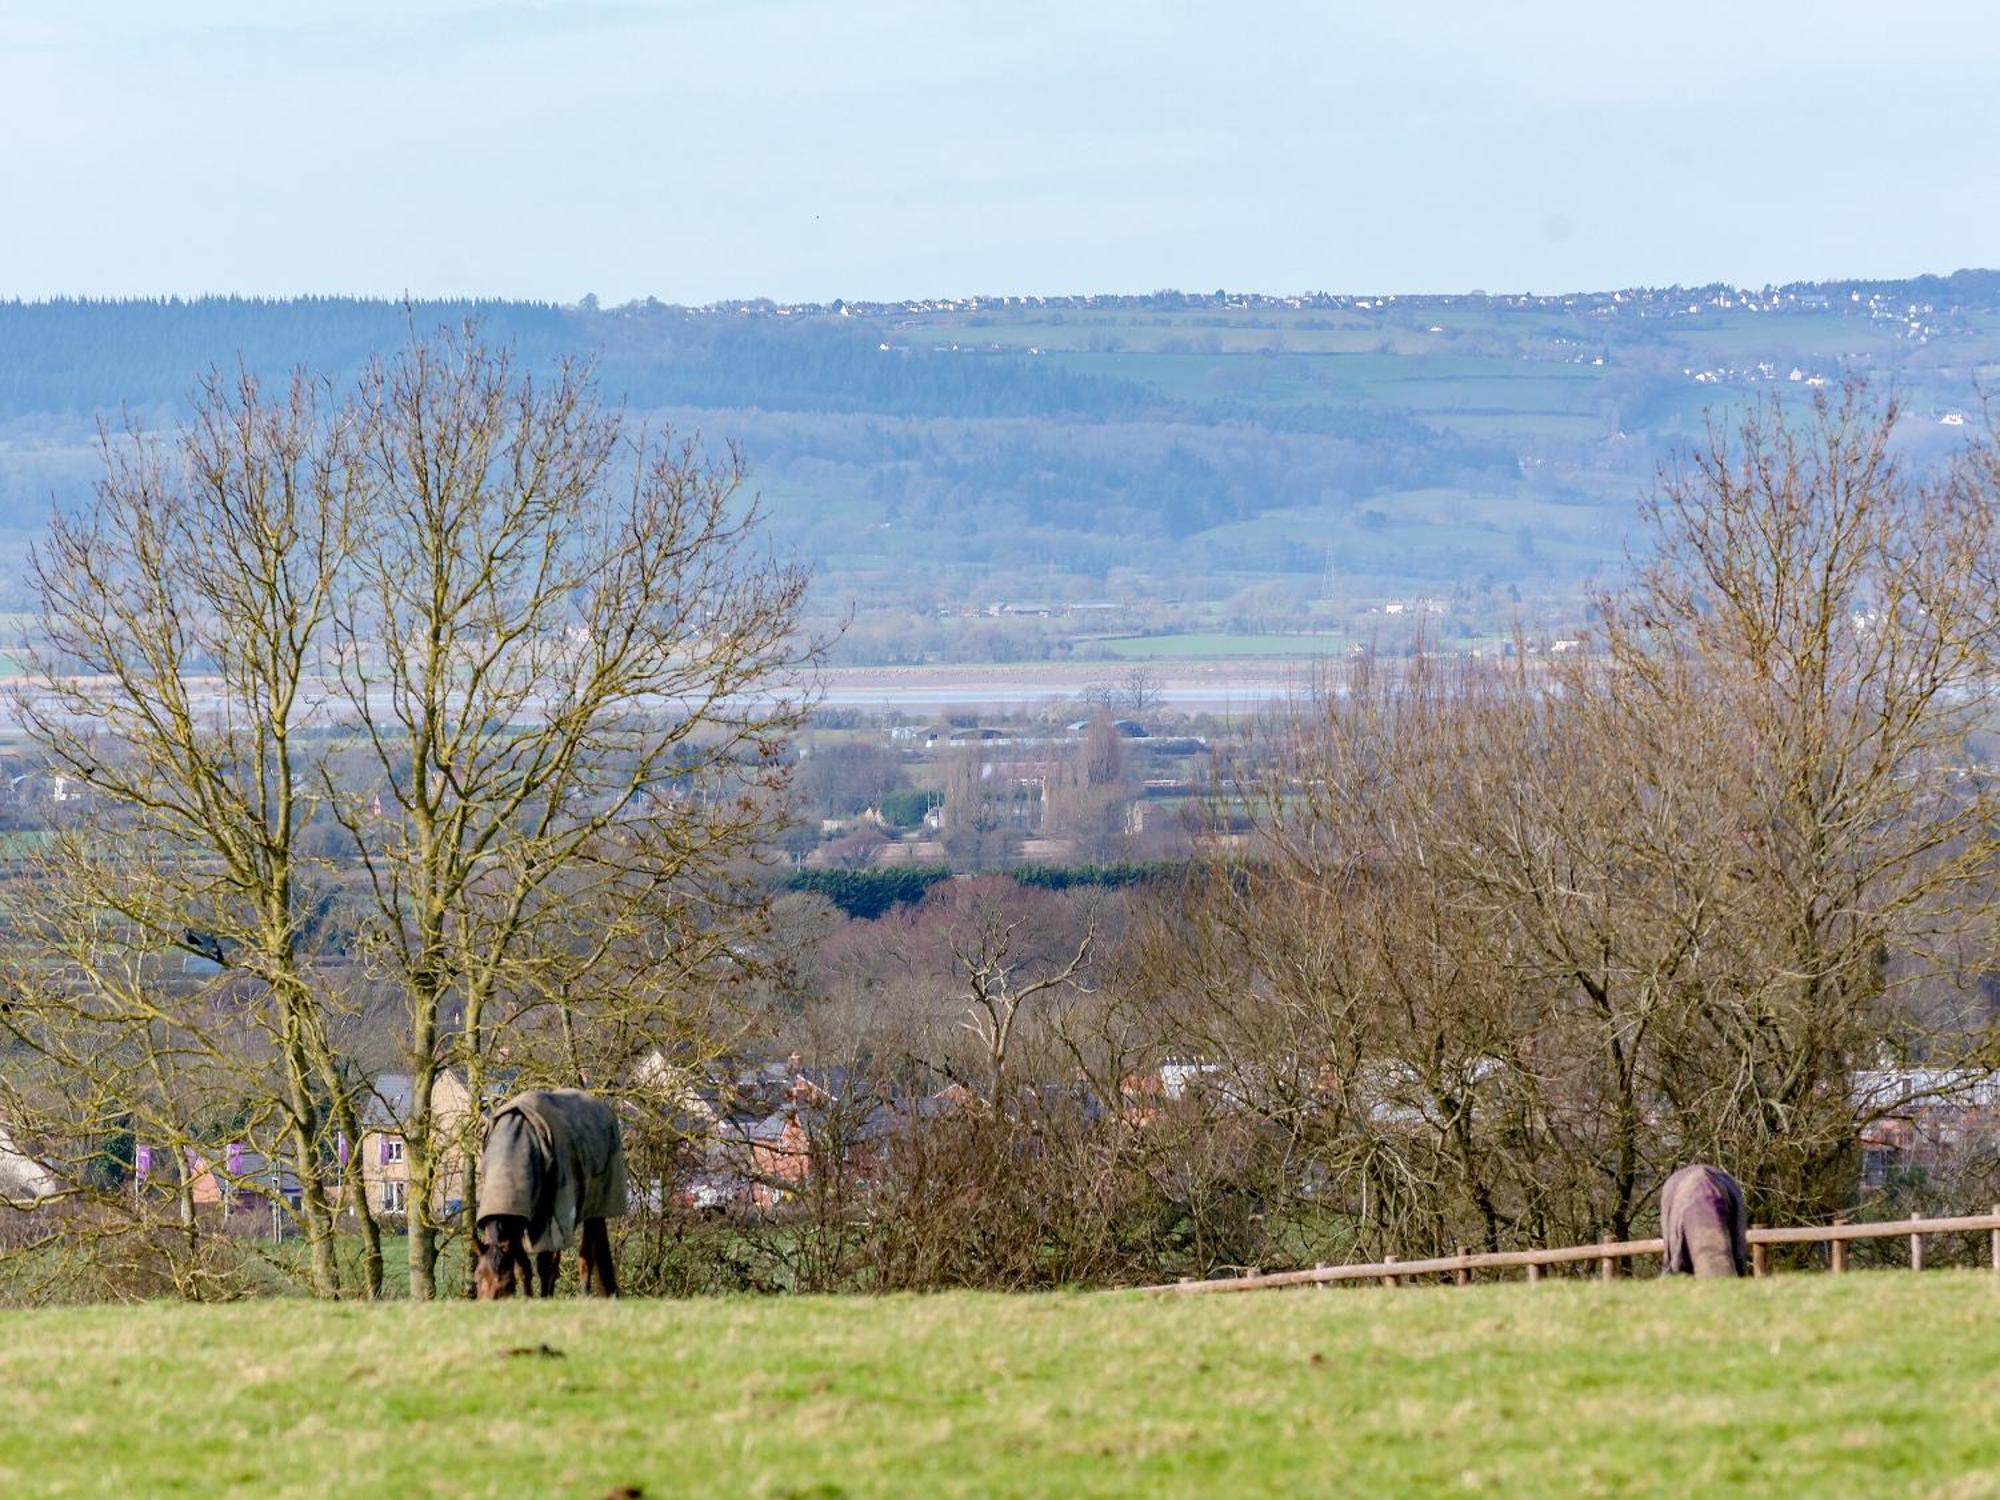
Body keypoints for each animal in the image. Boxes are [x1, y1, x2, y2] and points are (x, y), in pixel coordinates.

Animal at [474, 1096, 624, 1304]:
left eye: (505, 1283)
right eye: (477, 1279)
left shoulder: (548, 1221)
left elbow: (545, 1267)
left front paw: (543, 1299)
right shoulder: (516, 1221)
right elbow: (524, 1267)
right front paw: (528, 1298)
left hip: (593, 1211)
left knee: (585, 1259)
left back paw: (583, 1296)